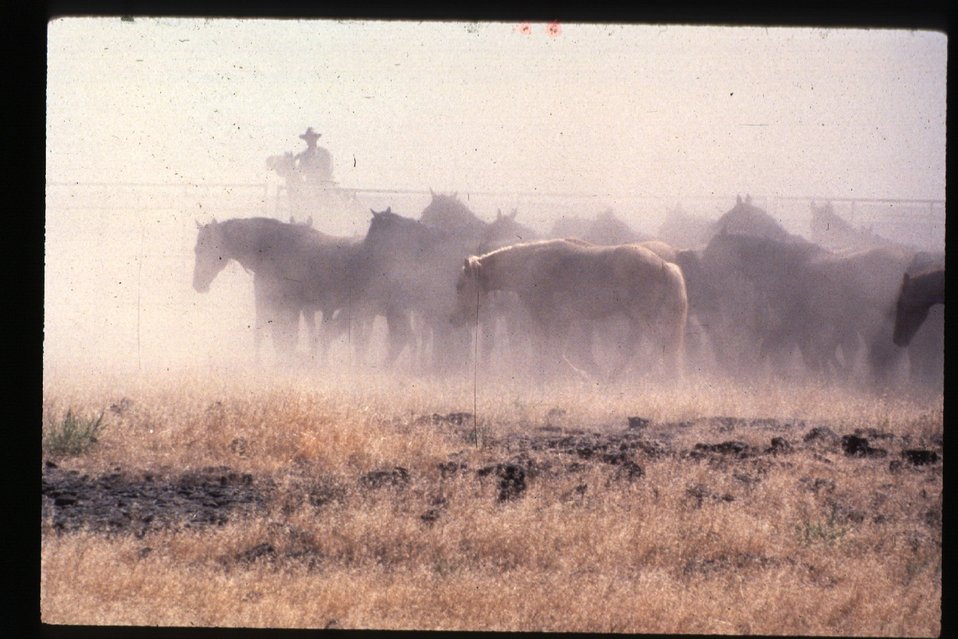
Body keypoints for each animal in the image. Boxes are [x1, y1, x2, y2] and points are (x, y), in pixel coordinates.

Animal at [452, 239, 688, 380]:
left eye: (460, 285)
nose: (455, 318)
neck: (530, 266)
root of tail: (665, 266)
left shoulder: (552, 320)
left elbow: (550, 352)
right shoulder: (560, 322)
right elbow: (552, 352)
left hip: (643, 317)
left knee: (660, 345)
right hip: (635, 319)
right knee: (639, 348)